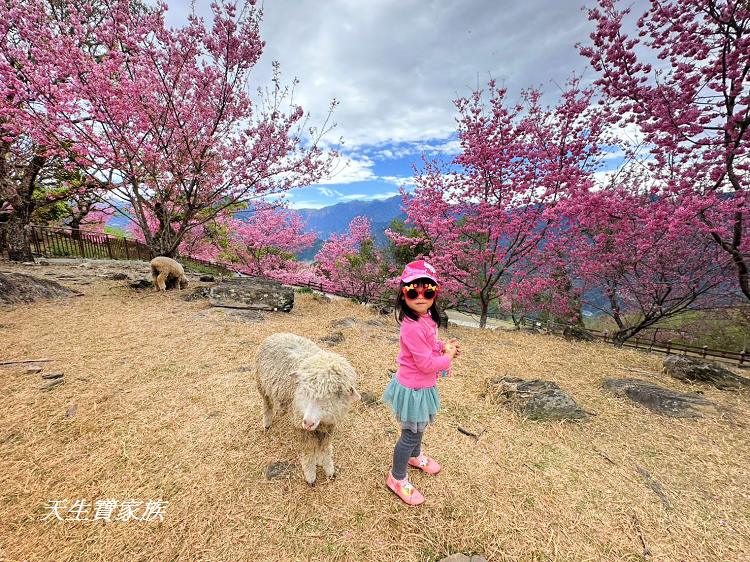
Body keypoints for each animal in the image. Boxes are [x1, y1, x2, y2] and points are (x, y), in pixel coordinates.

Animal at [258, 330, 362, 484]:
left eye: (335, 394)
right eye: (304, 390)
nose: (308, 422)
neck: (321, 423)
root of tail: (278, 333)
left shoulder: (328, 427)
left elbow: (325, 449)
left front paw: (328, 469)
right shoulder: (302, 427)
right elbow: (308, 453)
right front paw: (310, 475)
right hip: (262, 386)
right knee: (267, 405)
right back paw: (267, 423)